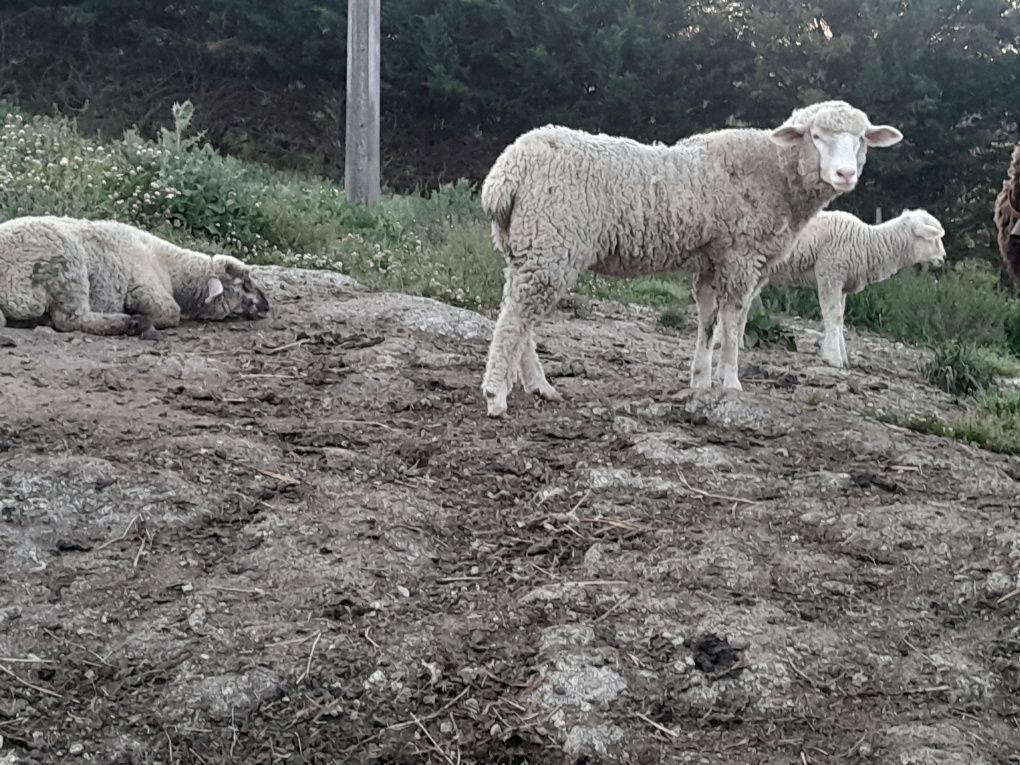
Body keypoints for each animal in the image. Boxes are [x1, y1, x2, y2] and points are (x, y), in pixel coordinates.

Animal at [0, 214, 269, 336]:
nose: (267, 306)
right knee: (71, 319)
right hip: (68, 266)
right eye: (244, 284)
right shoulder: (144, 287)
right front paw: (140, 319)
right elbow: (171, 313)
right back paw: (126, 322)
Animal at [475, 102, 901, 420]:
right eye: (816, 136)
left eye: (861, 139)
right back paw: (496, 394)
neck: (776, 174)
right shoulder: (741, 257)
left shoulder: (713, 260)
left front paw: (700, 380)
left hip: (526, 246)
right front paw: (730, 382)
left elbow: (707, 320)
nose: (845, 173)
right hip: (552, 242)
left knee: (518, 313)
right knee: (515, 318)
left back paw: (539, 386)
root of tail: (505, 175)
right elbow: (734, 322)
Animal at [714, 207, 942, 369]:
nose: (943, 258)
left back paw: (734, 341)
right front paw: (833, 358)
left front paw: (841, 354)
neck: (867, 243)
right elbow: (833, 316)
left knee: (742, 306)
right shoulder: (830, 275)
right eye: (934, 238)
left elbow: (840, 319)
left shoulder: (842, 286)